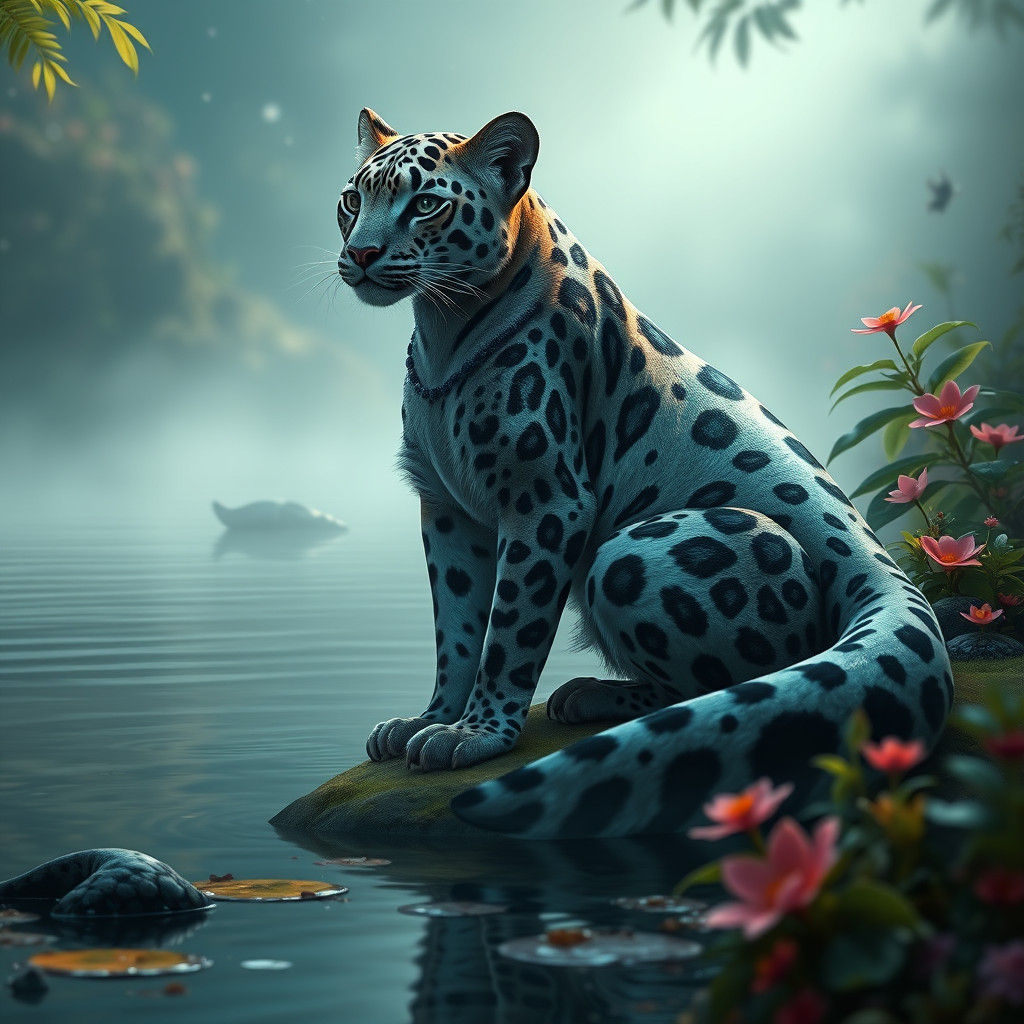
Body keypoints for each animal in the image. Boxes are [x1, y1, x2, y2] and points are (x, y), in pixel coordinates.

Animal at [338, 108, 952, 839]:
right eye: (352, 202)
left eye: (426, 204)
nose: (362, 254)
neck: (442, 328)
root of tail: (873, 555)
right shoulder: (448, 510)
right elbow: (456, 627)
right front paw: (428, 721)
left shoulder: (546, 502)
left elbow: (510, 630)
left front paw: (477, 735)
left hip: (628, 554)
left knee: (739, 678)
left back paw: (589, 695)